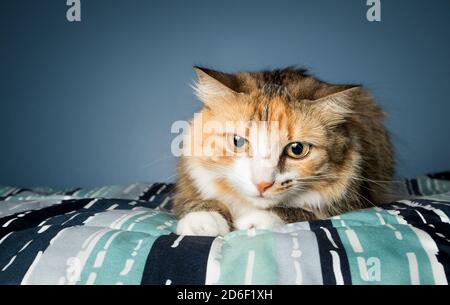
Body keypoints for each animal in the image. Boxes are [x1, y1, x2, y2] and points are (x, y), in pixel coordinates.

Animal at [172, 66, 394, 235]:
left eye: (297, 149)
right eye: (238, 141)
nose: (262, 184)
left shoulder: (353, 200)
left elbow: (300, 211)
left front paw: (254, 220)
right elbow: (196, 201)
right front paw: (203, 220)